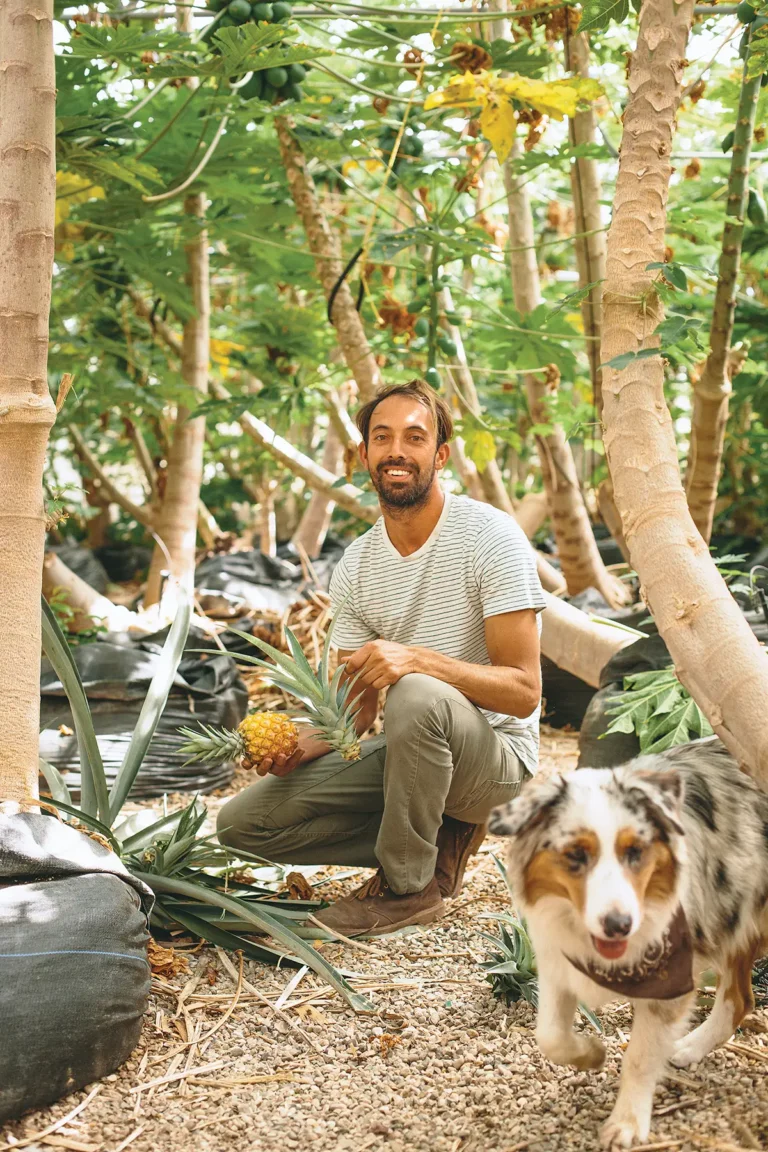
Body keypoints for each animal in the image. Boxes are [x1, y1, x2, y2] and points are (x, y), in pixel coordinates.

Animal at [490, 741, 768, 1147]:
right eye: (575, 855)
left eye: (636, 851)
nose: (618, 926)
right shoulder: (557, 964)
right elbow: (550, 1036)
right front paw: (591, 1054)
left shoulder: (670, 982)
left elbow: (639, 1057)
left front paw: (627, 1123)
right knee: (740, 999)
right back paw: (689, 1047)